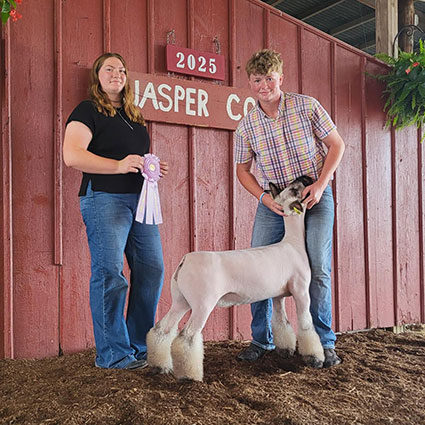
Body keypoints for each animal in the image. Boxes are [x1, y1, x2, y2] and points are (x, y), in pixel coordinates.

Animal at [146, 175, 325, 381]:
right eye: (295, 189)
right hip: (202, 303)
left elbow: (282, 322)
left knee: (162, 329)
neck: (293, 243)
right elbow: (306, 324)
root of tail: (185, 260)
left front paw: (285, 351)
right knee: (187, 336)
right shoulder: (301, 290)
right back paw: (189, 377)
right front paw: (315, 359)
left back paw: (159, 366)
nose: (306, 178)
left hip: (180, 300)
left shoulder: (278, 295)